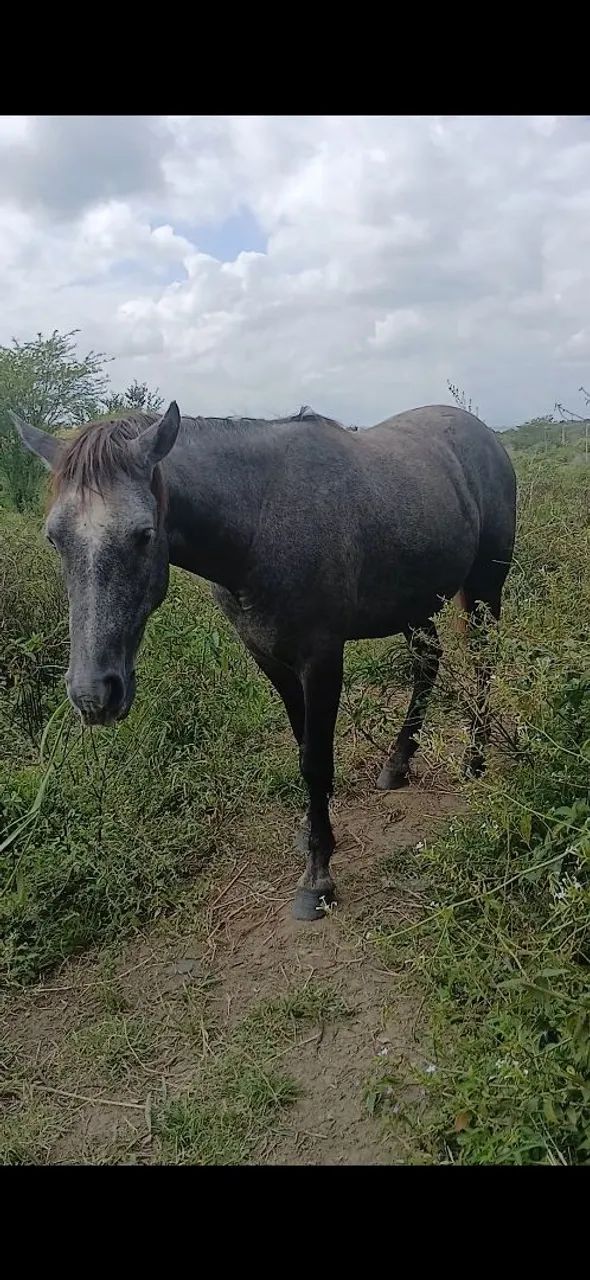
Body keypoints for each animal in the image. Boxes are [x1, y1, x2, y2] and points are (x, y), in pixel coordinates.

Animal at [15, 402, 516, 921]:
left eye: (144, 534)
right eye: (53, 538)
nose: (93, 694)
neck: (259, 523)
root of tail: (483, 433)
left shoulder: (320, 660)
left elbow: (316, 760)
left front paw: (317, 877)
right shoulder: (269, 657)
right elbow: (302, 745)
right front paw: (312, 830)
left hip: (484, 589)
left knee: (482, 663)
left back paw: (475, 761)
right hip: (414, 605)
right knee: (428, 661)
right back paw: (397, 764)